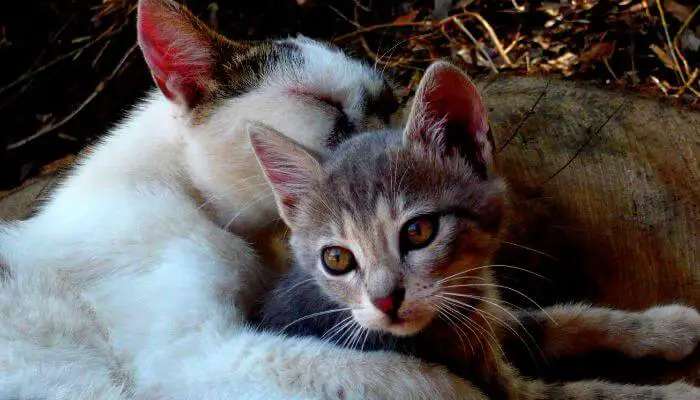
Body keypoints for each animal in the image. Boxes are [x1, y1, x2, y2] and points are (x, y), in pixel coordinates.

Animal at [252, 61, 700, 398]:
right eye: (337, 258)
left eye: (418, 231)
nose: (385, 301)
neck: (464, 303)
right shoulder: (506, 390)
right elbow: (593, 392)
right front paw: (676, 393)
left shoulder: (491, 317)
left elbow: (566, 318)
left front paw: (669, 326)